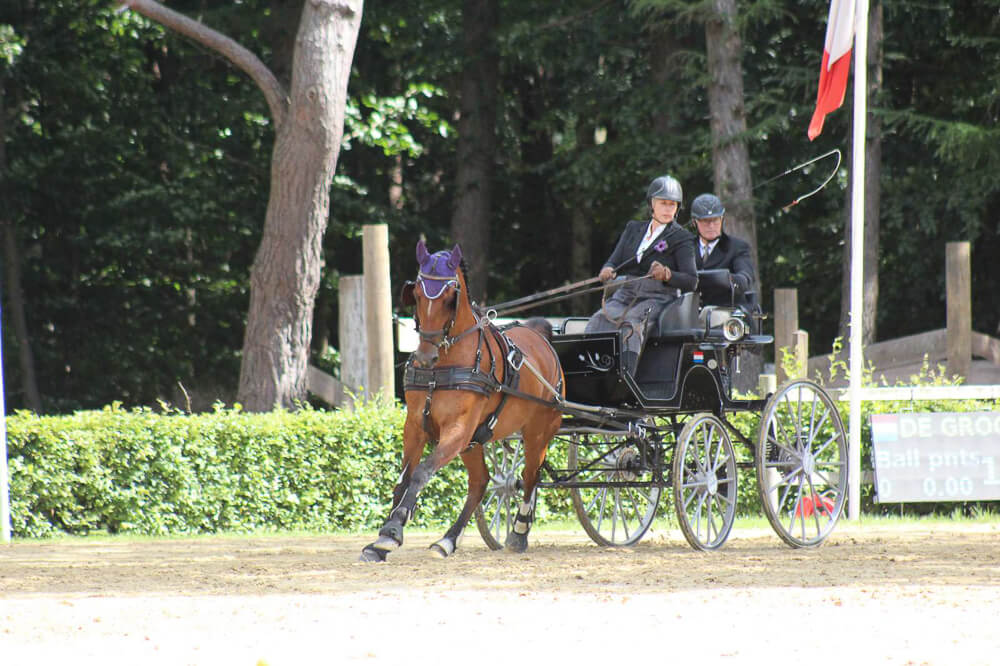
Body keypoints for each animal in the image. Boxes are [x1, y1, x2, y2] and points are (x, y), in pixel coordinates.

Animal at [360, 239, 564, 560]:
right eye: (417, 295)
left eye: (448, 298)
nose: (425, 356)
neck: (441, 367)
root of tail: (540, 337)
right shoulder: (415, 427)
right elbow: (403, 479)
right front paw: (382, 540)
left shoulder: (457, 430)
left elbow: (421, 473)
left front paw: (393, 529)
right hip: (475, 441)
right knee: (481, 482)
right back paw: (447, 540)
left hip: (538, 432)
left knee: (530, 475)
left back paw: (519, 532)